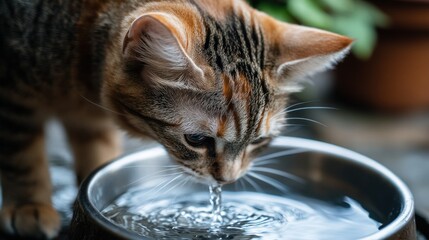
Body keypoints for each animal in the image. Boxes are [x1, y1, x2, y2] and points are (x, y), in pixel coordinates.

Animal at [0, 0, 352, 237]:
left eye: (259, 141)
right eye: (196, 140)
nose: (227, 181)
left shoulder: (90, 121)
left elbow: (96, 152)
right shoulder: (13, 95)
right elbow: (22, 157)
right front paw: (30, 204)